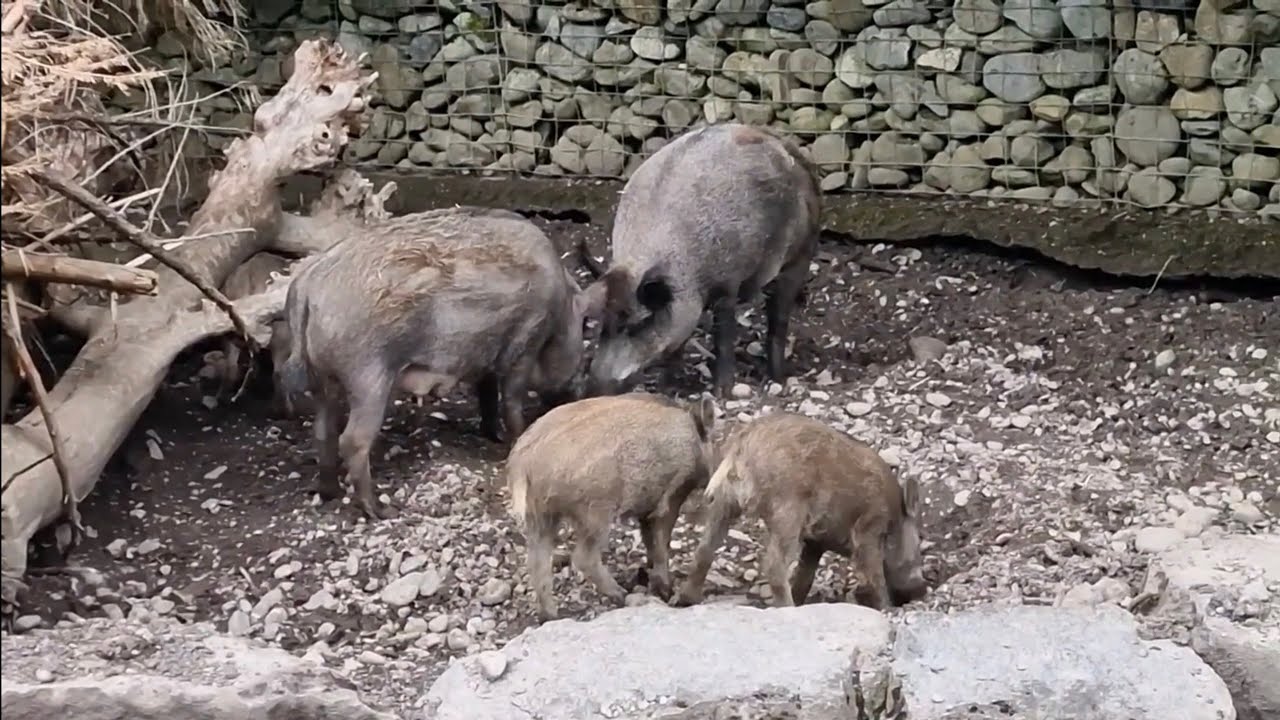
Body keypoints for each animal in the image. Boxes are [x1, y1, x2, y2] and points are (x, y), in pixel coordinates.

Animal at [278, 207, 596, 519]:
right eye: (584, 330)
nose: (581, 391)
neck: (559, 312)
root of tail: (307, 286)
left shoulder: (486, 358)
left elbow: (487, 394)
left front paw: (492, 435)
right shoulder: (525, 341)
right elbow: (512, 400)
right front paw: (516, 436)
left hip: (324, 379)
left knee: (322, 431)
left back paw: (328, 492)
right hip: (368, 374)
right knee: (352, 440)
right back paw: (383, 511)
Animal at [506, 392, 717, 621]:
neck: (693, 444)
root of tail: (523, 463)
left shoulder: (646, 507)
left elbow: (650, 541)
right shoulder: (669, 498)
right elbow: (662, 542)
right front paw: (665, 591)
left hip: (539, 513)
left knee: (537, 561)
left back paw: (551, 616)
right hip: (594, 510)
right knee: (582, 557)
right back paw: (620, 593)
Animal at [581, 122, 822, 398]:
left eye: (638, 324)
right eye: (604, 323)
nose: (594, 389)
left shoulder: (727, 283)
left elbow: (723, 336)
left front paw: (722, 392)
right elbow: (677, 345)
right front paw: (669, 387)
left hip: (801, 253)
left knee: (779, 318)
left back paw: (776, 379)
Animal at [674, 411, 927, 610]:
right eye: (918, 546)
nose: (920, 590)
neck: (895, 519)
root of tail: (739, 452)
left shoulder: (816, 542)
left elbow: (806, 575)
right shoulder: (869, 527)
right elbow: (873, 573)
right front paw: (887, 608)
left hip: (724, 501)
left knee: (704, 548)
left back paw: (685, 600)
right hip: (787, 509)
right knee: (774, 564)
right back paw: (787, 607)